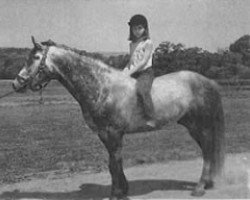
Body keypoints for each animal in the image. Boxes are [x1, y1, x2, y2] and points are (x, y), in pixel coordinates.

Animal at [12, 36, 226, 199]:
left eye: (36, 57)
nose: (16, 83)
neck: (102, 88)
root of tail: (207, 80)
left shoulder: (113, 133)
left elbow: (115, 164)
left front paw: (117, 193)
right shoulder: (105, 134)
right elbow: (113, 163)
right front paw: (122, 190)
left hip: (201, 126)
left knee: (208, 150)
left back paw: (200, 188)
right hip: (192, 126)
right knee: (207, 149)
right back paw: (207, 183)